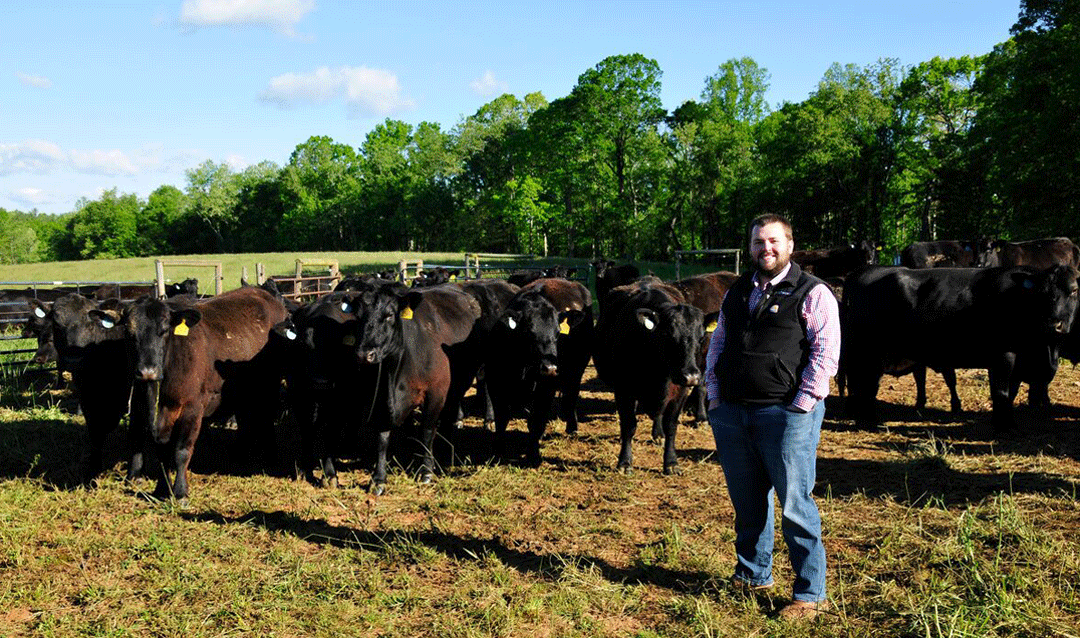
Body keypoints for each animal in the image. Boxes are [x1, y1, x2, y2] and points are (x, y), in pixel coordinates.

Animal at [596, 280, 704, 474]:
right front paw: (625, 462)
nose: (691, 376)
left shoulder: (680, 392)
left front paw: (671, 463)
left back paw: (658, 434)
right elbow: (629, 425)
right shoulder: (624, 390)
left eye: (700, 338)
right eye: (668, 334)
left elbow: (671, 426)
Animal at [842, 264, 1080, 433]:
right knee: (865, 385)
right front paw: (1004, 425)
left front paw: (1004, 421)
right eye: (1042, 292)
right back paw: (868, 419)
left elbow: (1007, 393)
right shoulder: (1003, 355)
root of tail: (864, 271)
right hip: (867, 352)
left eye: (1074, 290)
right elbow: (1001, 392)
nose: (1055, 323)